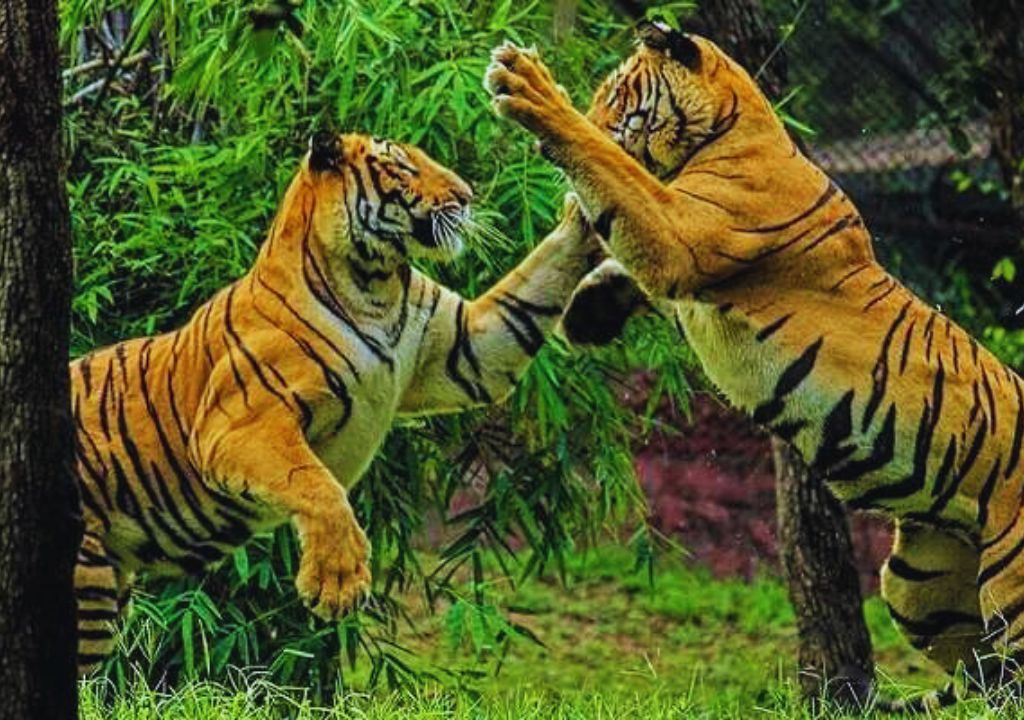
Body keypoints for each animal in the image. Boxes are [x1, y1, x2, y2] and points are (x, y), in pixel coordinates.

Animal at [71, 130, 598, 674]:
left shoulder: (467, 348)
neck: (375, 284)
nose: (467, 195)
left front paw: (585, 205)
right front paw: (337, 585)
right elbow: (314, 483)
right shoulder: (239, 424)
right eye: (404, 167)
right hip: (86, 587)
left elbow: (532, 289)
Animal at [484, 21, 1024, 710]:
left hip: (1011, 589)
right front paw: (590, 313)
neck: (731, 129)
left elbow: (614, 171)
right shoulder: (680, 254)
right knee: (985, 673)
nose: (598, 110)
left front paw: (529, 89)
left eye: (616, 95)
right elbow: (622, 253)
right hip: (916, 586)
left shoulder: (681, 232)